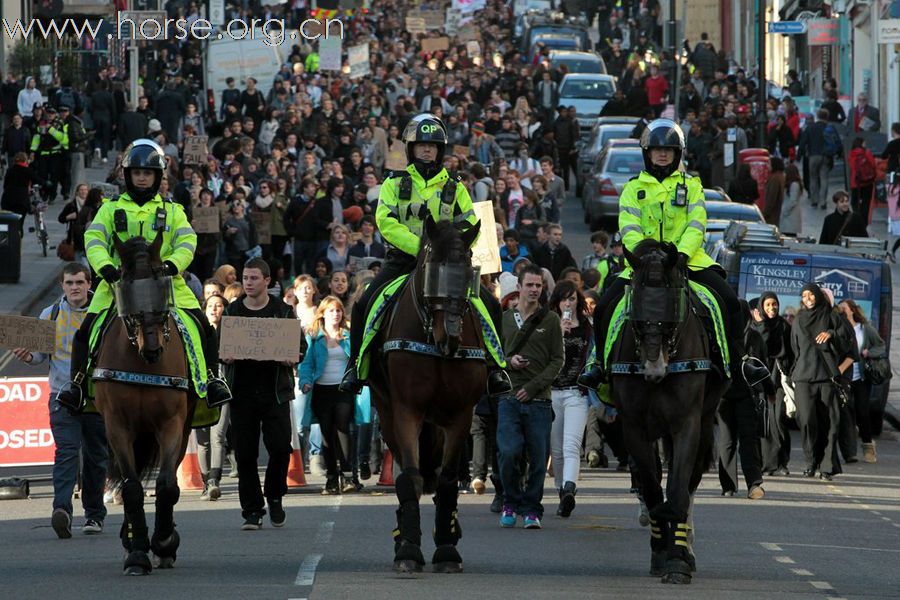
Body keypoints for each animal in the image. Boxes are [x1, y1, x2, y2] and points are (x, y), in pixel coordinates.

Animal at [92, 231, 196, 576]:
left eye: (161, 278)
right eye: (125, 285)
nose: (153, 348)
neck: (141, 364)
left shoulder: (172, 424)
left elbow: (166, 485)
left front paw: (164, 541)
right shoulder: (117, 427)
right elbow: (132, 487)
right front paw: (137, 551)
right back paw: (130, 539)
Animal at [370, 218, 488, 576]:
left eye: (468, 268)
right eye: (431, 267)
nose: (449, 336)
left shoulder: (462, 414)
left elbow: (448, 479)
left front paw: (447, 547)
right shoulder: (406, 411)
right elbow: (410, 477)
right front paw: (408, 547)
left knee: (436, 473)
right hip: (388, 415)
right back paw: (402, 534)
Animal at [608, 238, 728, 580]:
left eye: (674, 300)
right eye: (634, 298)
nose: (654, 366)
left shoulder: (687, 425)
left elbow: (677, 492)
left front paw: (677, 559)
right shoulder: (634, 427)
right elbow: (651, 488)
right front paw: (660, 549)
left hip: (704, 426)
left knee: (689, 483)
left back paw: (687, 547)